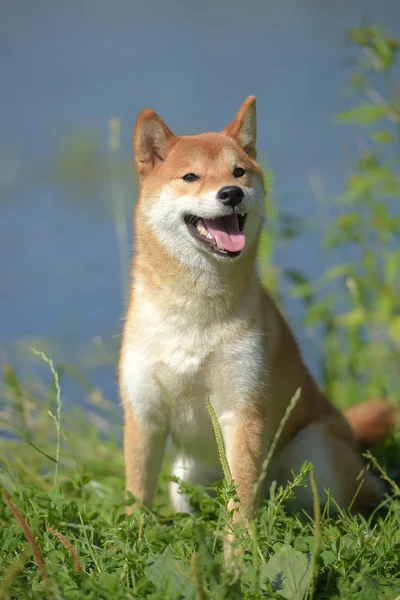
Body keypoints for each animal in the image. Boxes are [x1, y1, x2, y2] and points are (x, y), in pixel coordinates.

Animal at [118, 96, 394, 532]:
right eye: (190, 177)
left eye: (239, 171)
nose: (231, 193)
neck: (192, 312)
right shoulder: (144, 416)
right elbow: (137, 495)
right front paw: (134, 538)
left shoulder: (242, 412)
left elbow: (241, 500)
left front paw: (240, 549)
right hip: (185, 478)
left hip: (313, 454)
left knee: (363, 498)